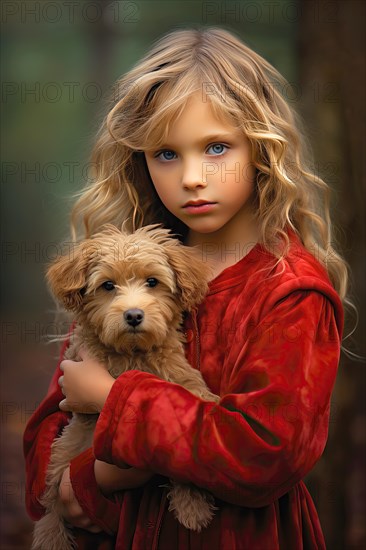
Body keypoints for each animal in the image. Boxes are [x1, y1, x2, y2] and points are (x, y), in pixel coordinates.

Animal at [32, 225, 217, 550]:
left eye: (153, 281)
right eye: (108, 285)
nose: (133, 315)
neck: (133, 353)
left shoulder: (184, 381)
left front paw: (192, 505)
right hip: (67, 448)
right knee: (53, 497)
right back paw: (50, 534)